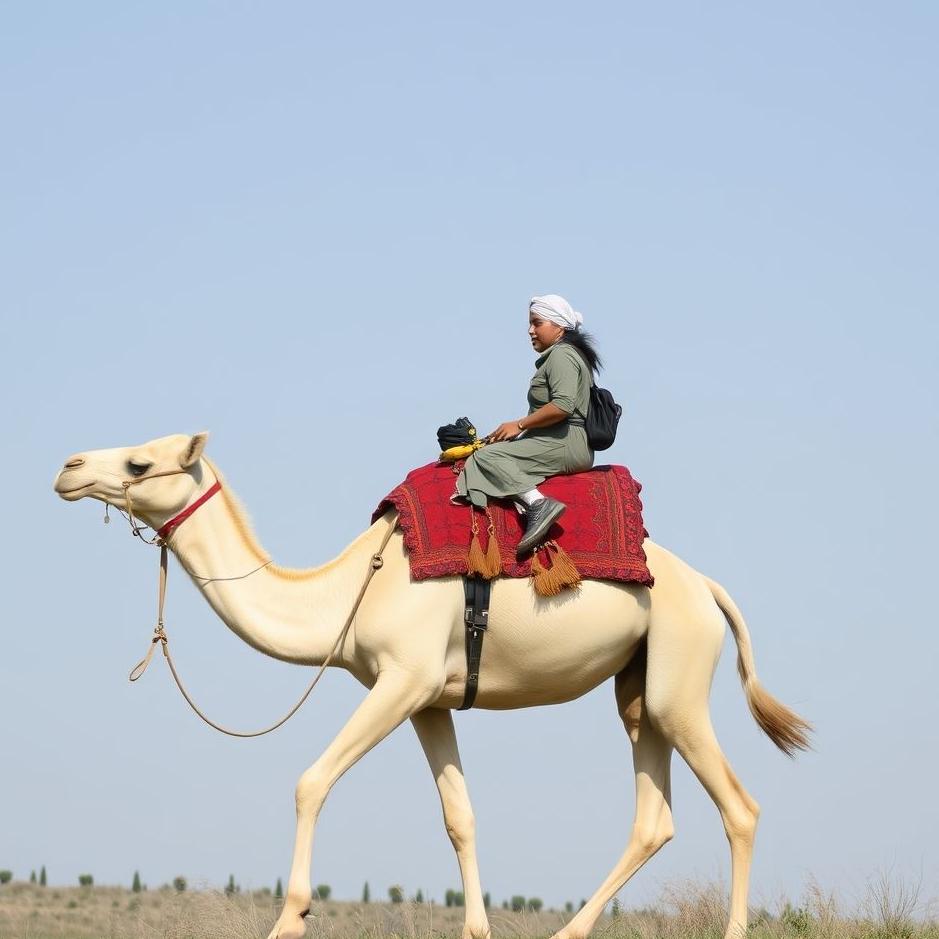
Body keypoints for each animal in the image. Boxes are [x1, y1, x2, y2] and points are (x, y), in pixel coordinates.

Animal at [54, 432, 810, 939]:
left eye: (140, 461)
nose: (66, 467)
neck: (347, 592)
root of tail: (707, 587)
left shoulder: (401, 678)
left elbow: (311, 779)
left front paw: (291, 916)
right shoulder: (429, 700)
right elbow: (459, 816)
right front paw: (476, 928)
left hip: (680, 673)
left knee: (739, 807)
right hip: (639, 684)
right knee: (653, 815)